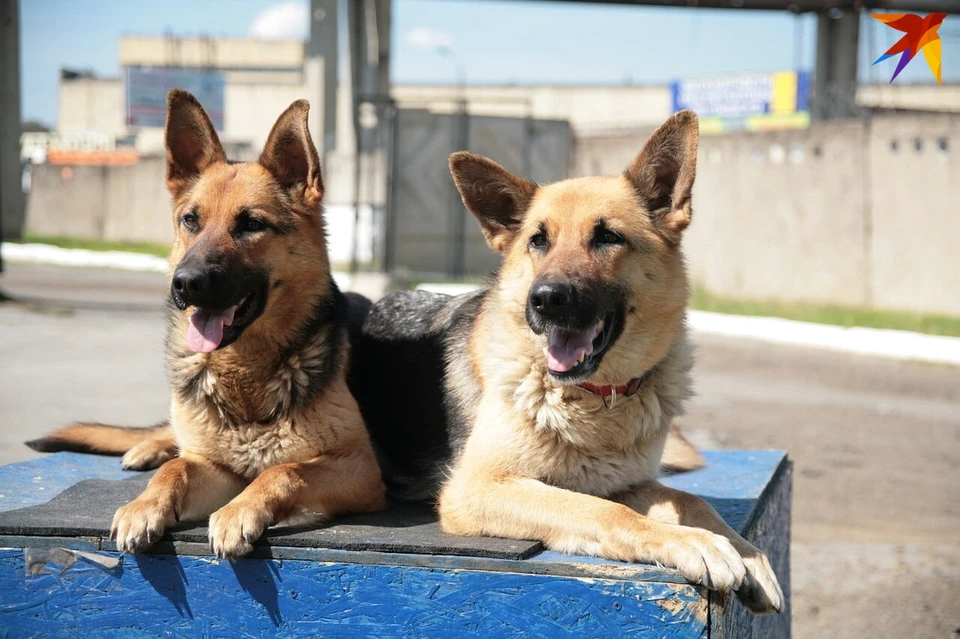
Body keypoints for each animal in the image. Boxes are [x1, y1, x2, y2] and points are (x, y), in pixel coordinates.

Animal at [29, 90, 386, 560]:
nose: (186, 283)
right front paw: (144, 505)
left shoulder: (361, 469)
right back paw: (149, 447)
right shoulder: (215, 466)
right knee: (172, 438)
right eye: (191, 220)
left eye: (251, 224)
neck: (245, 371)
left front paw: (239, 512)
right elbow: (178, 468)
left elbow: (284, 470)